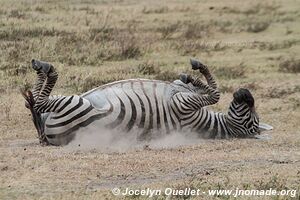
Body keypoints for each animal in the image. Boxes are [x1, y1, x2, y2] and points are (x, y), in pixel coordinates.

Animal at [21, 57, 272, 145]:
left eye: (252, 122)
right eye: (253, 114)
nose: (244, 92)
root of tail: (48, 139)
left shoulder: (183, 107)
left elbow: (215, 95)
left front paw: (197, 69)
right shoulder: (182, 93)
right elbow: (200, 87)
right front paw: (191, 76)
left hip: (76, 105)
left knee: (42, 104)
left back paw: (45, 69)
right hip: (67, 102)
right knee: (37, 111)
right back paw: (33, 91)